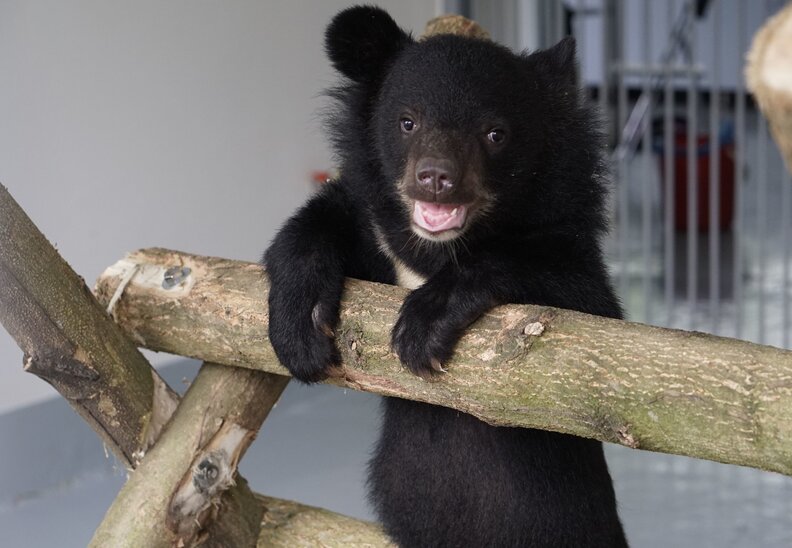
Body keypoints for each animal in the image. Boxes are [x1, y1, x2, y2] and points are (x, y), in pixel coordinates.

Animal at [264, 6, 628, 547]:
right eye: (407, 121)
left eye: (495, 134)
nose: (436, 178)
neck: (435, 249)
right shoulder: (375, 232)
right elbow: (317, 226)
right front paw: (299, 333)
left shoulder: (568, 237)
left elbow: (582, 299)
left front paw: (422, 327)